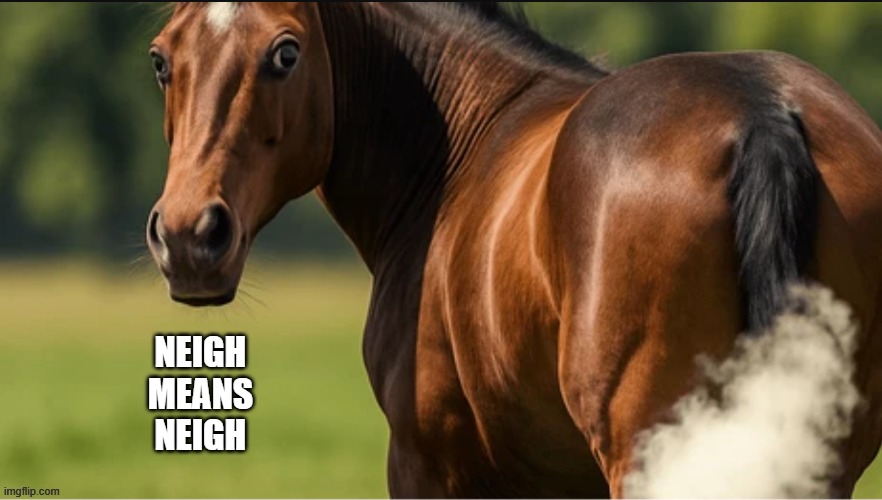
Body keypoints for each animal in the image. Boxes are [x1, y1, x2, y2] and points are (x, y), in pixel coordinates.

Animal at [144, 2, 882, 497]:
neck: (454, 155)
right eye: (160, 60)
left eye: (286, 53)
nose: (188, 235)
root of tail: (762, 111)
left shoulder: (427, 464)